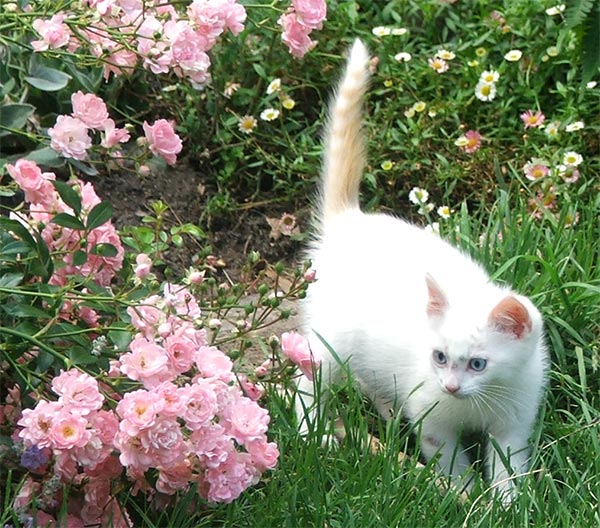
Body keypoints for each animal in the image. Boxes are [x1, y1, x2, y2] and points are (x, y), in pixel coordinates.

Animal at [296, 39, 548, 502]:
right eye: (440, 357)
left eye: (478, 364)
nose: (450, 386)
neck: (478, 402)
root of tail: (350, 221)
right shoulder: (432, 417)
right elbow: (449, 460)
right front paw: (463, 496)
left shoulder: (516, 417)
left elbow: (509, 464)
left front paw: (508, 503)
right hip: (330, 340)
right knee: (306, 382)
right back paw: (312, 433)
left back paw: (385, 409)